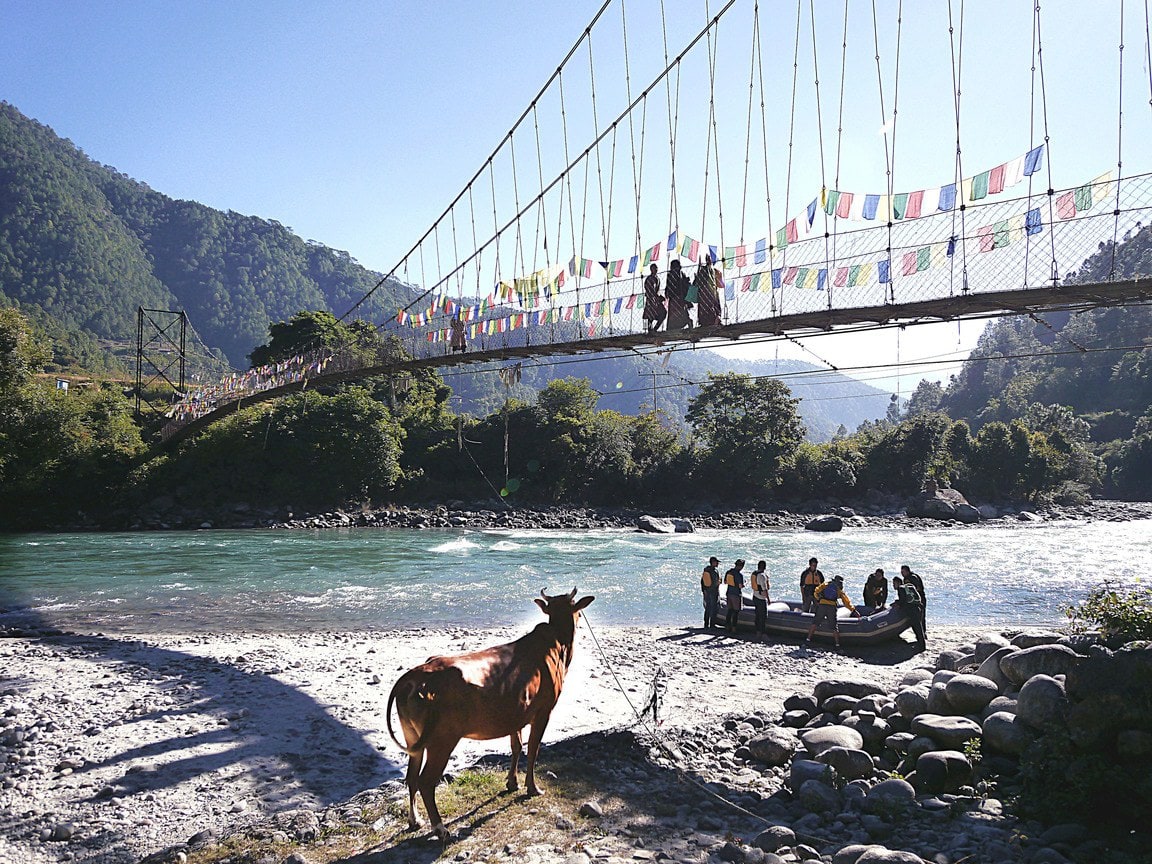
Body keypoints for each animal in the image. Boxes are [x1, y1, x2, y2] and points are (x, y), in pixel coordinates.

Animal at [387, 589, 594, 838]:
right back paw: (440, 828)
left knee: (410, 777)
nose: (581, 617)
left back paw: (415, 820)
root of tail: (413, 677)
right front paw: (533, 788)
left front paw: (512, 783)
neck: (558, 647)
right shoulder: (544, 709)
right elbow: (533, 749)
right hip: (442, 739)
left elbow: (516, 746)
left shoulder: (516, 712)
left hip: (412, 735)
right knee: (426, 781)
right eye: (577, 608)